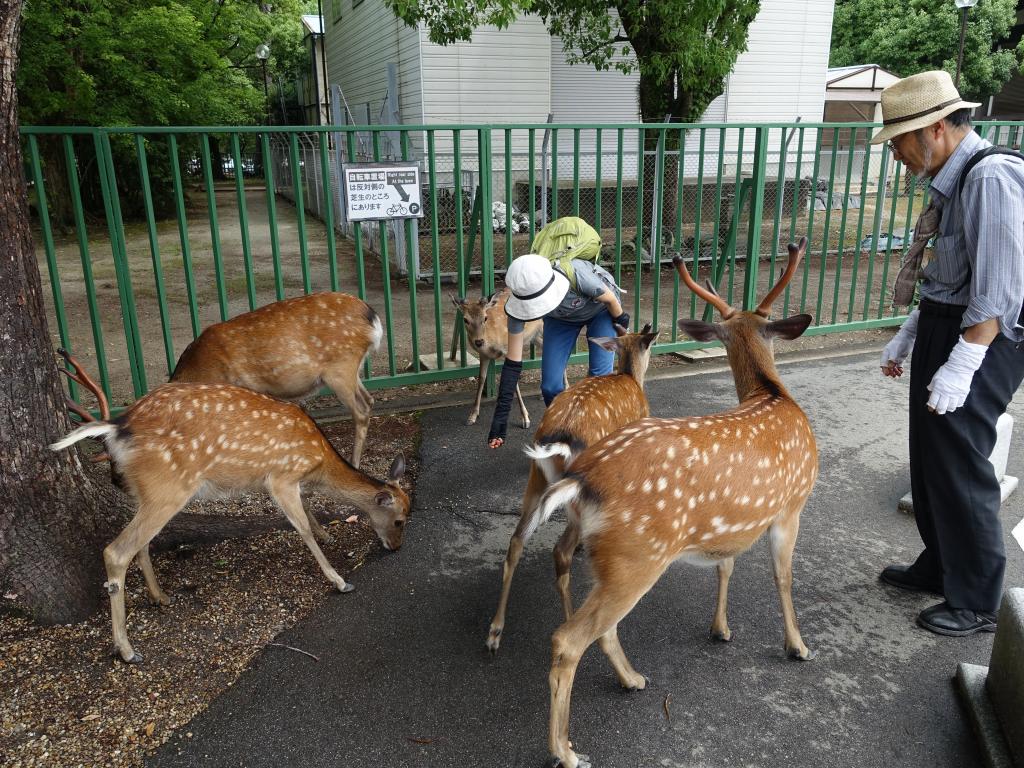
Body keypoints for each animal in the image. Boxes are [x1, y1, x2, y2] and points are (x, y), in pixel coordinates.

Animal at [48, 364, 407, 663]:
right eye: (400, 519)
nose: (396, 547)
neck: (318, 462)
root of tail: (118, 425)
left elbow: (306, 512)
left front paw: (327, 533)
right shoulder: (281, 475)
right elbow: (301, 527)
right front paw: (339, 580)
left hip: (146, 490)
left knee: (141, 543)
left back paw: (160, 596)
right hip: (169, 486)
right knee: (116, 550)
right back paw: (126, 650)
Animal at [172, 290, 380, 466]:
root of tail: (373, 319)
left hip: (340, 368)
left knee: (361, 411)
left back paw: (354, 462)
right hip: (352, 370)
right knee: (369, 400)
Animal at [483, 321, 659, 651]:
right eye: (649, 345)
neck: (632, 378)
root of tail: (560, 442)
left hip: (536, 480)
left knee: (516, 541)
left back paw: (495, 632)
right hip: (578, 490)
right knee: (560, 551)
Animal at [536, 239, 815, 768]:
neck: (773, 394)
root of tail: (581, 479)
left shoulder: (730, 523)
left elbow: (726, 565)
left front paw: (721, 628)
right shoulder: (792, 505)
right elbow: (784, 578)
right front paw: (798, 646)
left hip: (608, 559)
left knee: (599, 625)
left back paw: (633, 679)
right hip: (636, 555)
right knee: (566, 639)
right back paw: (566, 750)